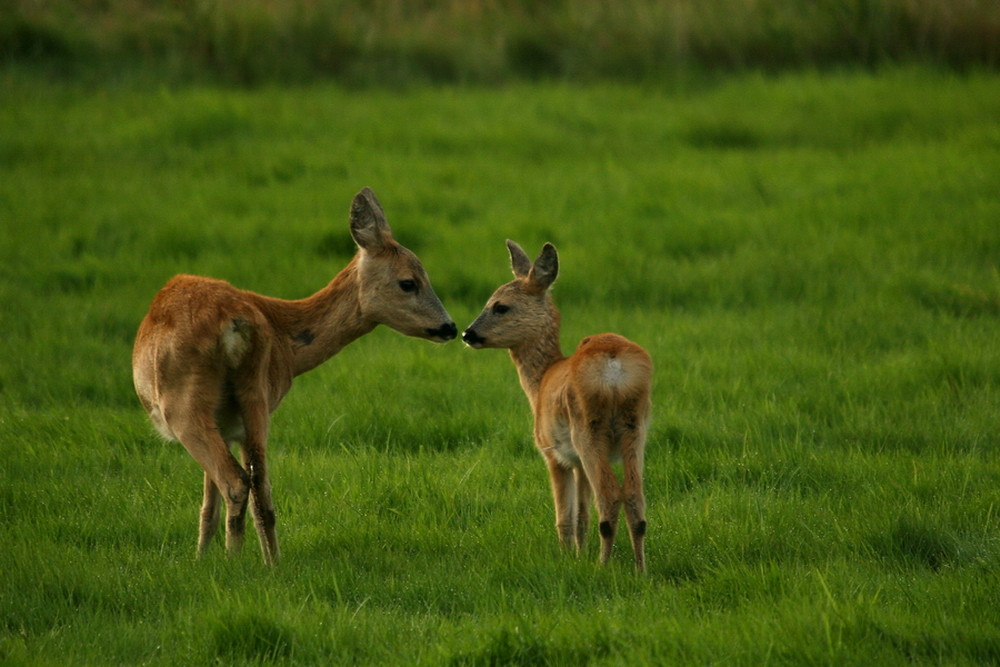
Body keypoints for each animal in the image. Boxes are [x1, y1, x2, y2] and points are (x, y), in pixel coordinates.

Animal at [133, 187, 458, 564]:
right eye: (409, 282)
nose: (450, 327)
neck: (285, 338)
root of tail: (236, 324)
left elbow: (208, 501)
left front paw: (200, 560)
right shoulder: (234, 422)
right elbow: (212, 503)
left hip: (184, 402)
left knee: (236, 481)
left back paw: (234, 561)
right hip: (255, 398)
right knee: (262, 488)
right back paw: (270, 563)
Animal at [464, 243, 652, 572]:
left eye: (500, 306)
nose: (467, 333)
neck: (540, 381)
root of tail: (614, 364)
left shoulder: (553, 453)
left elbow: (564, 516)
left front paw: (567, 556)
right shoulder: (576, 462)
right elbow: (581, 516)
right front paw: (579, 553)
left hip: (587, 429)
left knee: (610, 497)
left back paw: (603, 566)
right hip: (636, 427)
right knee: (634, 498)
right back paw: (640, 570)